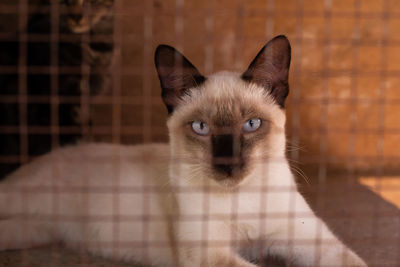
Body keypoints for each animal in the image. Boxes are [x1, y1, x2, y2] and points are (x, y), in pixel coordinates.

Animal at [0, 36, 368, 267]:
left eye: (251, 124)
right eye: (201, 128)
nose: (227, 163)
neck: (241, 198)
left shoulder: (308, 239)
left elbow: (352, 261)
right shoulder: (210, 255)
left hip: (28, 232)